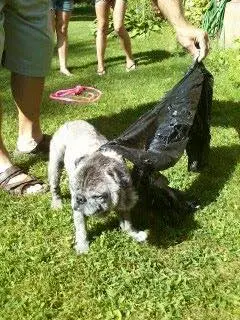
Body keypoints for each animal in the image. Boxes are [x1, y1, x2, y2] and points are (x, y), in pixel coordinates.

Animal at [47, 119, 147, 254]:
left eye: (96, 196)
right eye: (74, 189)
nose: (79, 198)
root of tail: (71, 121)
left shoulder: (124, 201)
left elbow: (127, 223)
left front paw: (134, 234)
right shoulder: (78, 210)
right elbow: (81, 228)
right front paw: (82, 246)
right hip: (55, 165)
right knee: (54, 186)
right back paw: (57, 203)